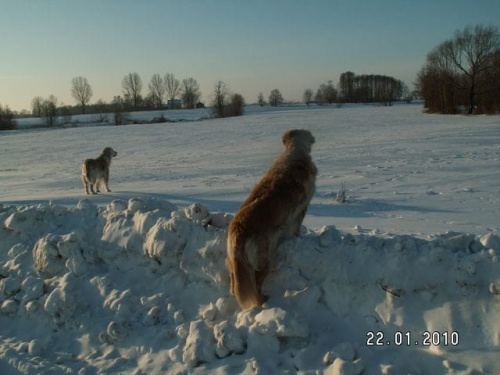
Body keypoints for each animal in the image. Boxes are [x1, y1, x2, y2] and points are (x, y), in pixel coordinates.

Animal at [227, 131, 316, 310]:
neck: (295, 151)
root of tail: (238, 231)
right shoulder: (302, 207)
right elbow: (296, 228)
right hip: (264, 262)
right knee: (256, 285)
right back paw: (262, 302)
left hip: (235, 264)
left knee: (234, 283)